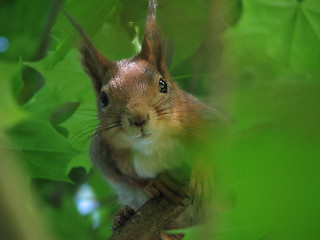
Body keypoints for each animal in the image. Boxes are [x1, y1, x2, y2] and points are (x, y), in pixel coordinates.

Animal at [65, 0, 220, 237]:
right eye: (103, 99)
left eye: (163, 84)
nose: (138, 118)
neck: (153, 144)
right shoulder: (103, 156)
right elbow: (131, 179)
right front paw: (158, 182)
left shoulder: (207, 120)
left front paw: (203, 173)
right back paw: (125, 217)